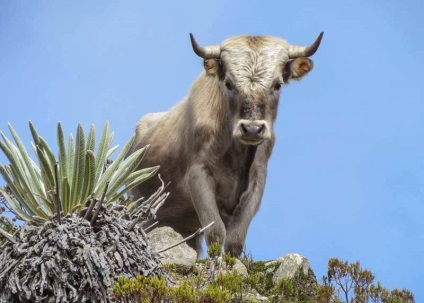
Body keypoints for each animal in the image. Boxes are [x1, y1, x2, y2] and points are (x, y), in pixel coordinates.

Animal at [127, 32, 322, 256]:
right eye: (228, 83)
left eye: (278, 84)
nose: (252, 128)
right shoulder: (198, 175)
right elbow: (216, 232)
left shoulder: (257, 181)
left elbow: (235, 239)